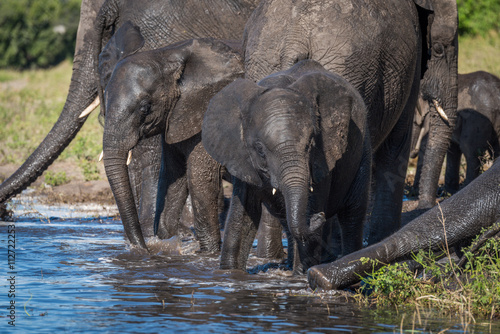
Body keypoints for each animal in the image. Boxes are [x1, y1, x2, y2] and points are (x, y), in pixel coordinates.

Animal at [202, 60, 372, 272]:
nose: (319, 216)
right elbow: (242, 217)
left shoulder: (321, 158)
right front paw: (229, 273)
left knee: (352, 216)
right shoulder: (242, 159)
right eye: (260, 149)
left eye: (311, 144)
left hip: (363, 148)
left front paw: (300, 275)